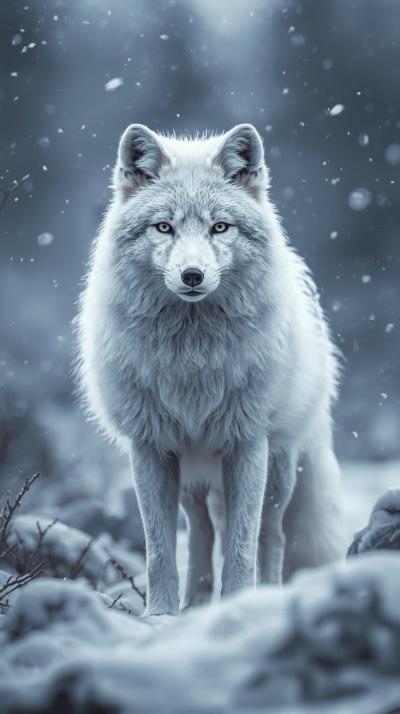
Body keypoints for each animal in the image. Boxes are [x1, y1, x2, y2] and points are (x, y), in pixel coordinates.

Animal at [76, 122, 345, 616]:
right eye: (164, 226)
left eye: (219, 226)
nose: (192, 276)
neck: (192, 359)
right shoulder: (151, 447)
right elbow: (159, 548)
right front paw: (160, 614)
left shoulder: (247, 444)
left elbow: (242, 545)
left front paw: (240, 601)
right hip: (190, 480)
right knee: (201, 533)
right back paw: (196, 599)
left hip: (279, 469)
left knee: (271, 534)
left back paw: (267, 592)